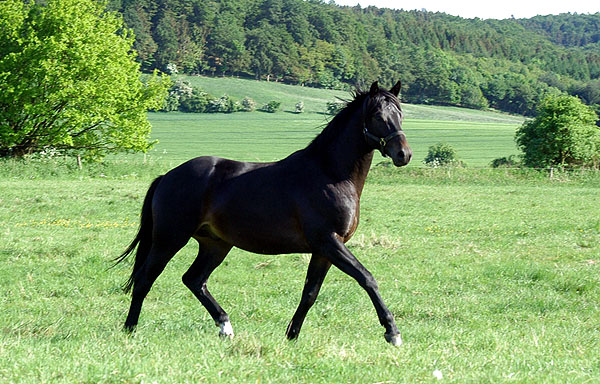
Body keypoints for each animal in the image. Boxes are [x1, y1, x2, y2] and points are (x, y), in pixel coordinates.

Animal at [114, 80, 410, 344]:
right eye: (378, 116)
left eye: (400, 114)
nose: (403, 154)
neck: (330, 174)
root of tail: (167, 176)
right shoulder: (329, 242)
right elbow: (367, 278)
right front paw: (392, 332)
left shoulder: (324, 251)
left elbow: (310, 294)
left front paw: (291, 336)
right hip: (169, 239)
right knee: (145, 279)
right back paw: (130, 330)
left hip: (215, 245)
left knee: (194, 280)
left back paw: (225, 327)